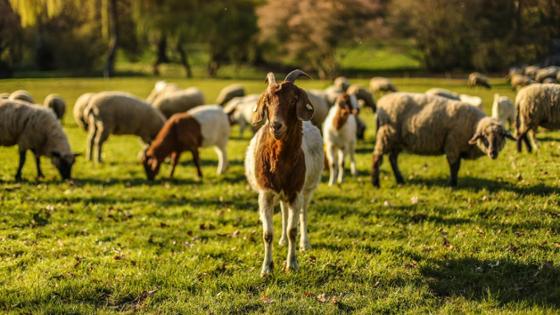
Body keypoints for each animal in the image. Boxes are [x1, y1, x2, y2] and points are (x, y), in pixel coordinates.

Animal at [245, 69, 324, 276]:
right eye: (267, 100)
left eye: (293, 99)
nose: (276, 125)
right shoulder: (265, 194)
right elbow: (267, 234)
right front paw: (266, 268)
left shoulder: (296, 192)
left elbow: (293, 231)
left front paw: (292, 264)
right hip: (281, 195)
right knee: (284, 213)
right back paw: (281, 241)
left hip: (307, 190)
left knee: (303, 214)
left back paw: (305, 244)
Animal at [374, 92, 516, 188]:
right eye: (484, 136)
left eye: (502, 136)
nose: (493, 153)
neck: (473, 124)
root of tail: (381, 103)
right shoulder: (452, 145)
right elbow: (454, 167)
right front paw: (453, 184)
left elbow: (456, 166)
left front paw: (453, 183)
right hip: (386, 136)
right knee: (377, 157)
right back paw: (376, 183)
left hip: (397, 141)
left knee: (392, 159)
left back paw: (400, 180)